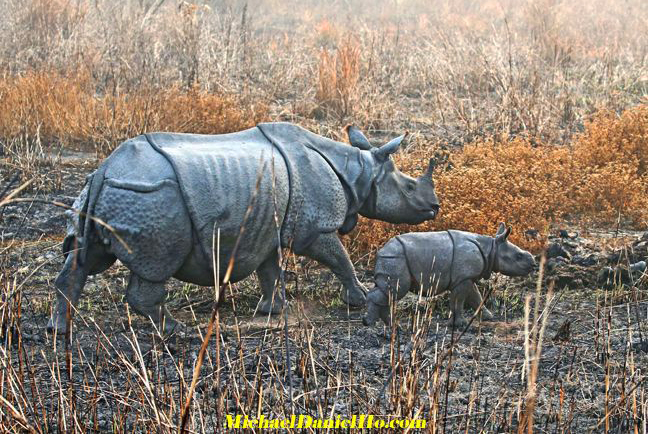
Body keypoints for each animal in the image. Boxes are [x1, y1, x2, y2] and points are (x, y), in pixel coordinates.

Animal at [364, 224, 536, 326]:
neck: (491, 249)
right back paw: (375, 324)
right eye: (518, 257)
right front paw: (460, 324)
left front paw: (488, 317)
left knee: (389, 292)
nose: (533, 264)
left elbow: (476, 297)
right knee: (396, 290)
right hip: (395, 258)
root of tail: (381, 252)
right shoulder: (463, 279)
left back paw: (389, 325)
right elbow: (459, 301)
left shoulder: (467, 277)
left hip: (392, 258)